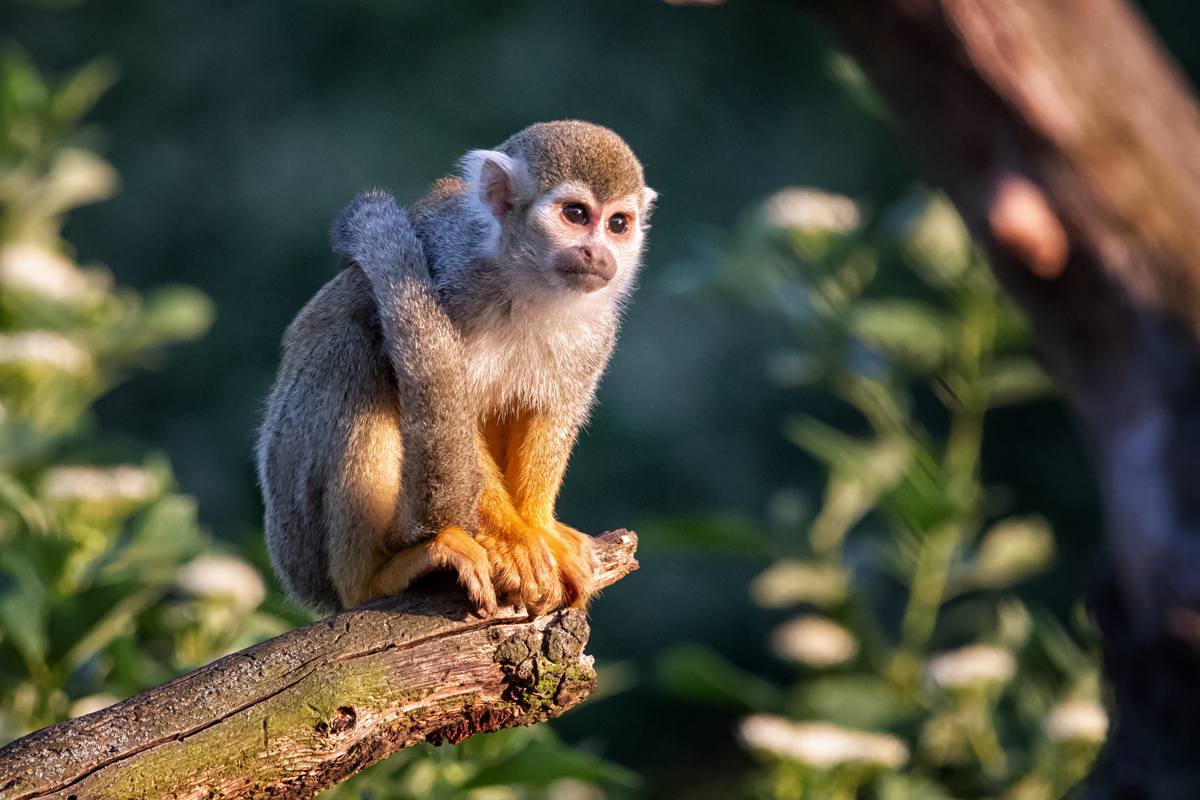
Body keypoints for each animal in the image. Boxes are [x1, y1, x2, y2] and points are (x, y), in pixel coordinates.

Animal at [254, 122, 657, 618]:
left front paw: (540, 526)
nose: (598, 254)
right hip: (295, 513)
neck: (523, 283)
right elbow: (446, 402)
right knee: (355, 352)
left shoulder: (599, 328)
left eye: (618, 223)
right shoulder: (448, 278)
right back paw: (370, 580)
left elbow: (553, 413)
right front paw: (514, 538)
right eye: (576, 214)